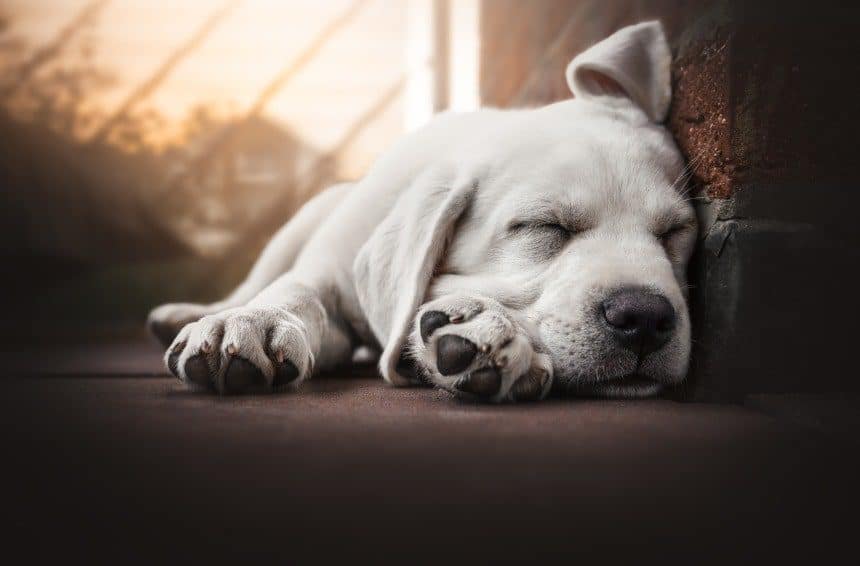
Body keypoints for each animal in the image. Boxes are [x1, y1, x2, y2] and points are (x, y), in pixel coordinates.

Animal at [149, 22, 700, 404]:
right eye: (544, 226)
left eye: (676, 231)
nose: (644, 316)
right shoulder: (331, 270)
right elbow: (297, 290)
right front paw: (253, 321)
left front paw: (483, 334)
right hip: (306, 218)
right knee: (257, 277)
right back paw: (198, 311)